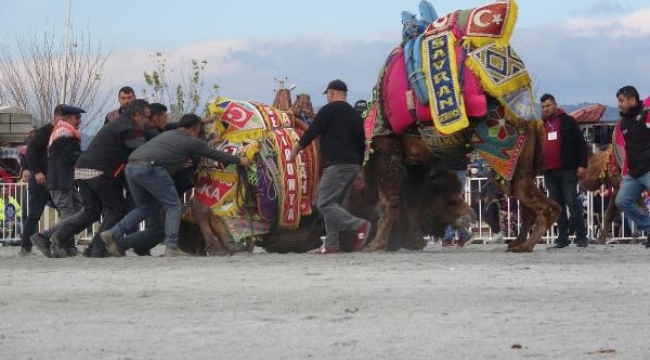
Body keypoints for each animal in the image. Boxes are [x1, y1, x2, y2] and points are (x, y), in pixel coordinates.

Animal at [362, 0, 560, 253]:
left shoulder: (387, 149)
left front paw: (376, 244)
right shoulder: (416, 161)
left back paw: (524, 246)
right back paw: (516, 243)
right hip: (521, 165)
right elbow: (413, 200)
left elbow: (389, 202)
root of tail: (535, 123)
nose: (469, 218)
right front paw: (412, 242)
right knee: (527, 204)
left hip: (509, 156)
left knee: (545, 206)